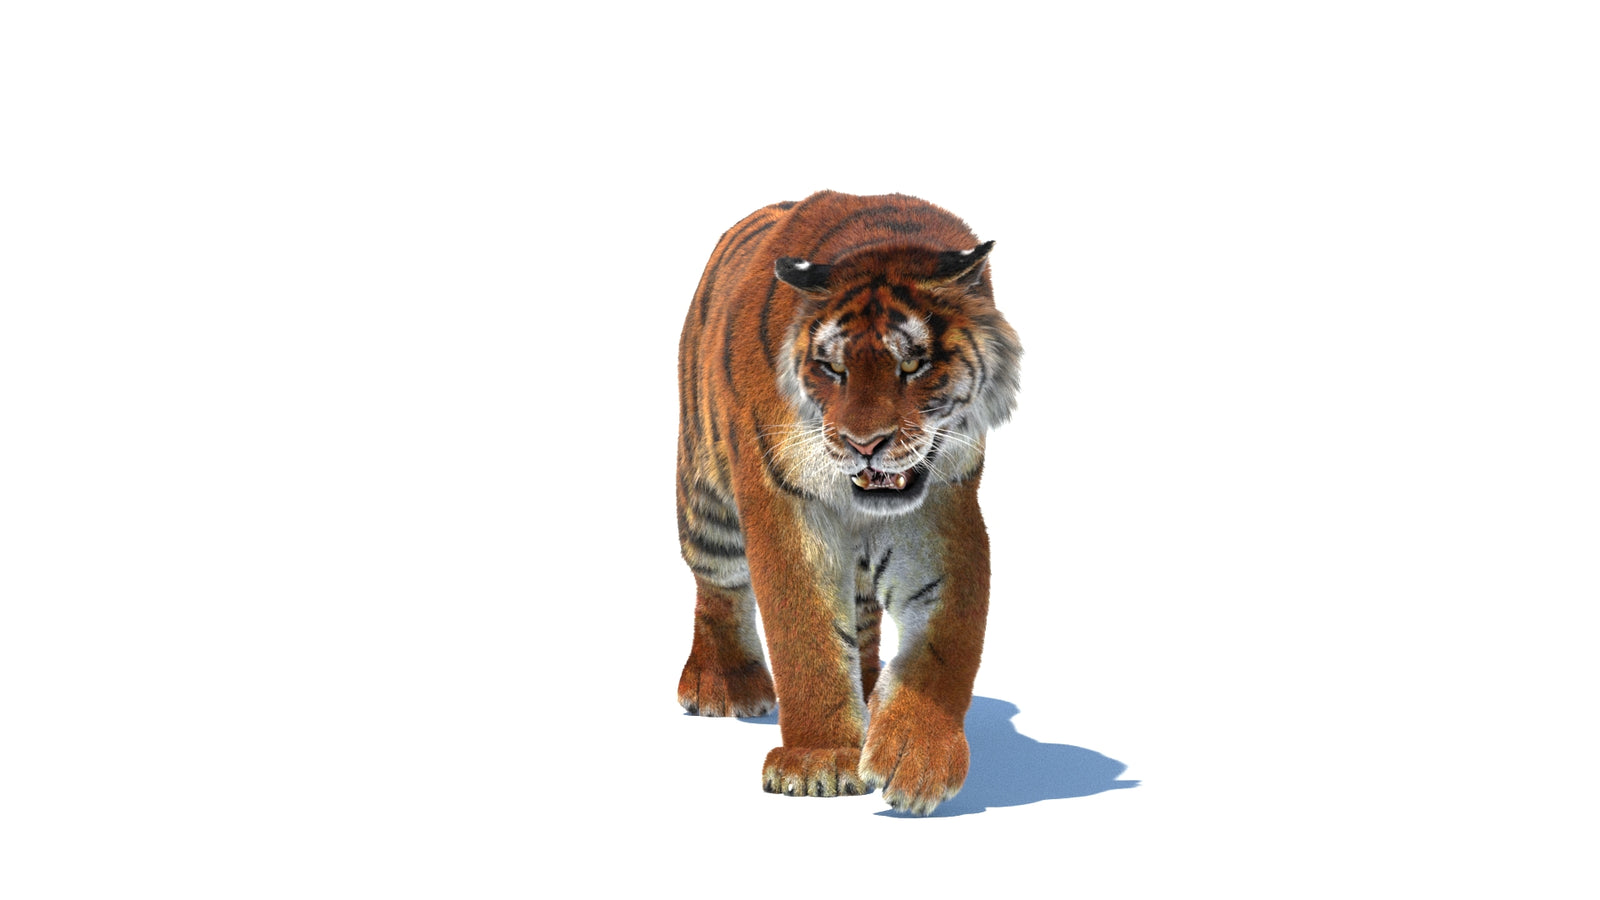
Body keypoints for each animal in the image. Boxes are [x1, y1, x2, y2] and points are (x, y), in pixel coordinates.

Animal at [675, 190, 1022, 815]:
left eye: (913, 365)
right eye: (833, 368)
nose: (864, 444)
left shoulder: (943, 511)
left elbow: (947, 638)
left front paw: (916, 759)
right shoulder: (785, 505)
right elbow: (806, 634)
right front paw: (819, 762)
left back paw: (868, 693)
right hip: (706, 501)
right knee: (717, 585)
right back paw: (725, 686)